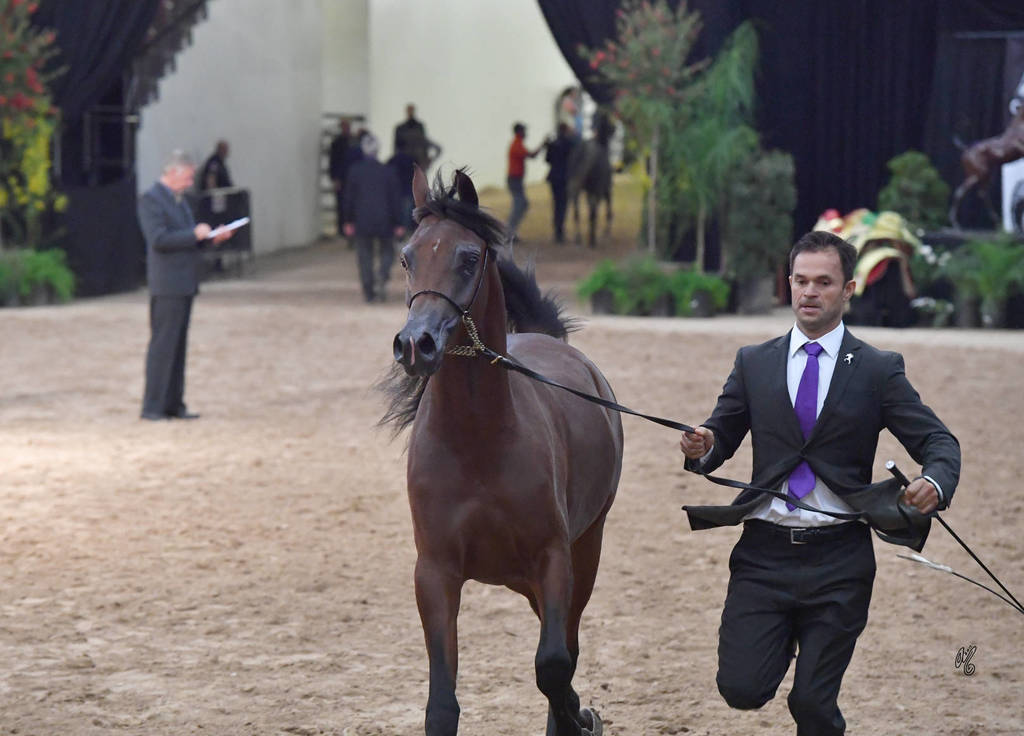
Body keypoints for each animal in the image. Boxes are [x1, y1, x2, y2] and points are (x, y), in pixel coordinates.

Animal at [383, 166, 623, 736]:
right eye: (407, 257)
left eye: (469, 258)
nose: (416, 345)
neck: (477, 443)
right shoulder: (435, 572)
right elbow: (442, 703)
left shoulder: (554, 558)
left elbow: (553, 664)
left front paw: (581, 719)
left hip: (587, 547)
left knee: (567, 647)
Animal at [567, 115, 614, 248]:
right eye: (609, 123)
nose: (614, 129)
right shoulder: (606, 190)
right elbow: (608, 210)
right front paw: (606, 232)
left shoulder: (589, 191)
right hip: (598, 190)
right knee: (593, 211)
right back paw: (592, 239)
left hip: (575, 188)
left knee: (576, 211)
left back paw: (578, 237)